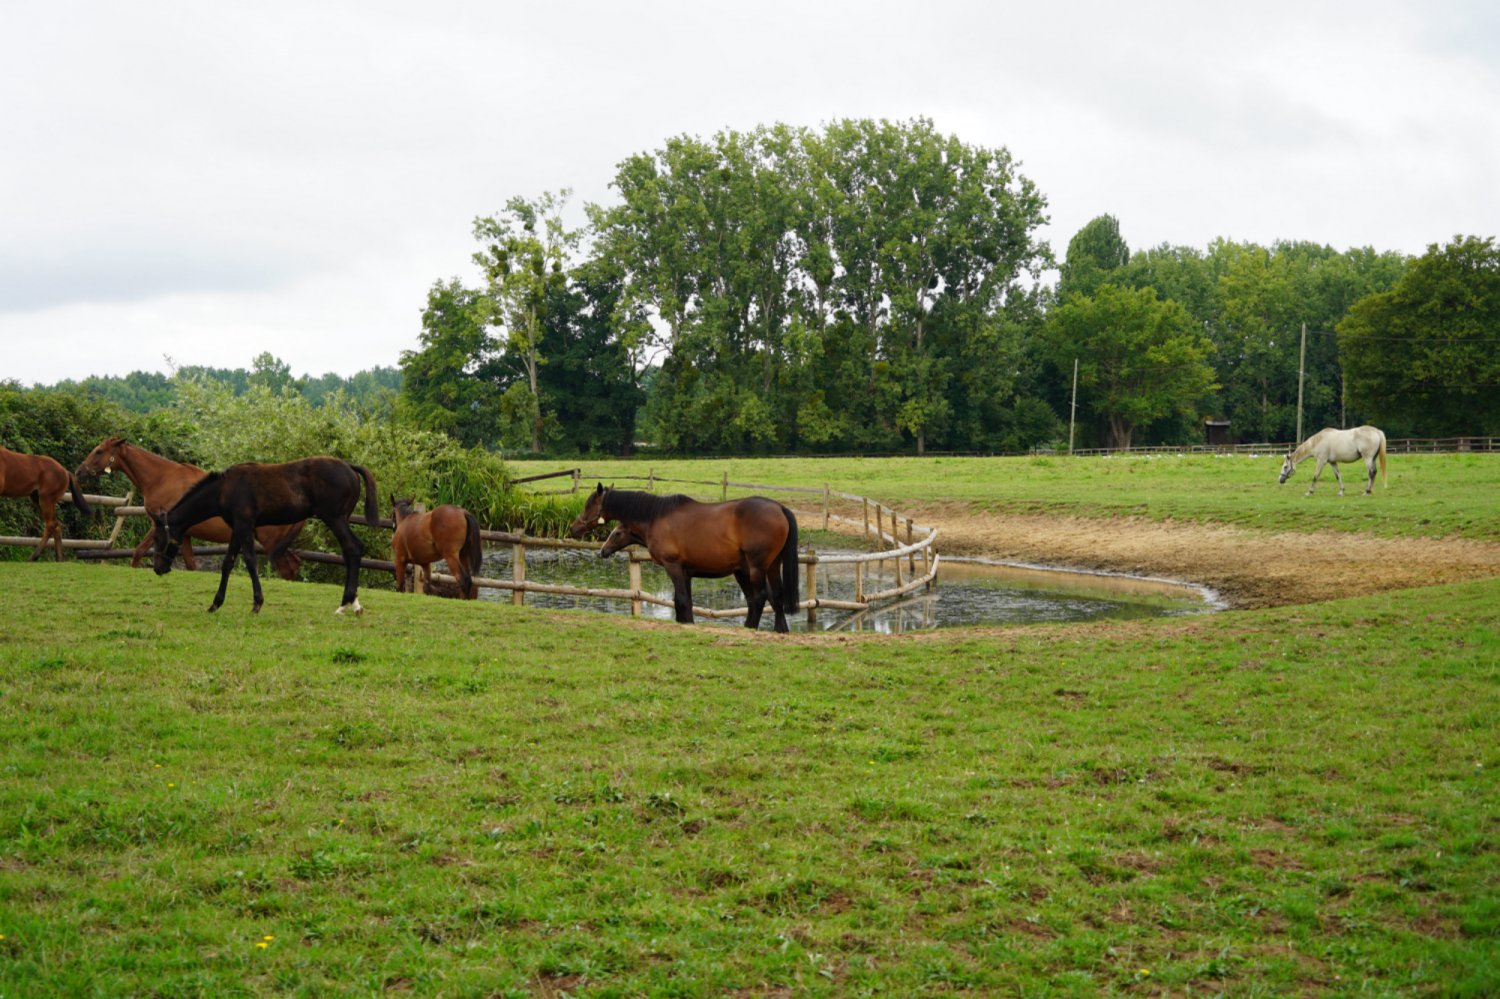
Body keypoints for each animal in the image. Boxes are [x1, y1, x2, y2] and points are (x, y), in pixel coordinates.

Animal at [76, 437, 304, 578]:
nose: (79, 471)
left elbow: (138, 553)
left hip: (270, 542)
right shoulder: (183, 534)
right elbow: (191, 566)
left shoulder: (159, 526)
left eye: (99, 451)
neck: (161, 478)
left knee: (288, 569)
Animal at [150, 456, 377, 615]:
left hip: (335, 518)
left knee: (353, 549)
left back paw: (345, 603)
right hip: (341, 519)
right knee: (350, 552)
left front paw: (257, 604)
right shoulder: (237, 528)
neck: (224, 489)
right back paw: (353, 605)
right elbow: (227, 563)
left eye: (156, 538)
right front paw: (215, 604)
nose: (158, 568)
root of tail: (350, 467)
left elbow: (250, 561)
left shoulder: (244, 526)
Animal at [570, 483, 800, 632]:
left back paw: (749, 628)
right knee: (775, 597)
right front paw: (688, 623)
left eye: (589, 505)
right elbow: (686, 602)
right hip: (767, 567)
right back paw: (780, 629)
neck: (655, 517)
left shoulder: (673, 567)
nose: (574, 528)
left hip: (756, 568)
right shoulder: (687, 572)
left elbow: (680, 600)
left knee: (760, 597)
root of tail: (779, 507)